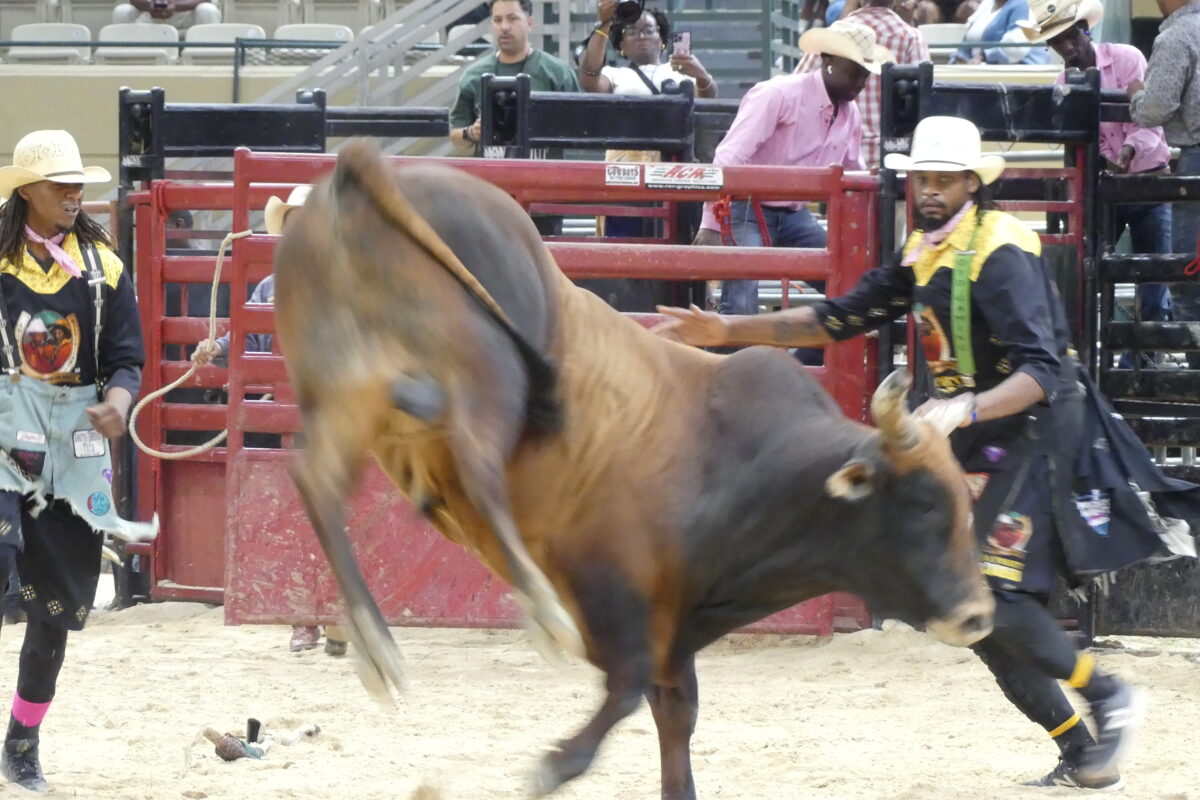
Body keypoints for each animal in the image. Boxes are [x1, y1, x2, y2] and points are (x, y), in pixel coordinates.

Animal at [272, 141, 995, 800]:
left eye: (966, 504)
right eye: (923, 505)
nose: (978, 615)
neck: (734, 459)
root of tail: (364, 172)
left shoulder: (674, 635)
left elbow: (674, 722)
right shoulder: (614, 592)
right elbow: (622, 691)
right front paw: (555, 763)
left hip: (350, 394)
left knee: (318, 481)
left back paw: (374, 643)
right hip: (484, 369)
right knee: (475, 463)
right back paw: (536, 610)